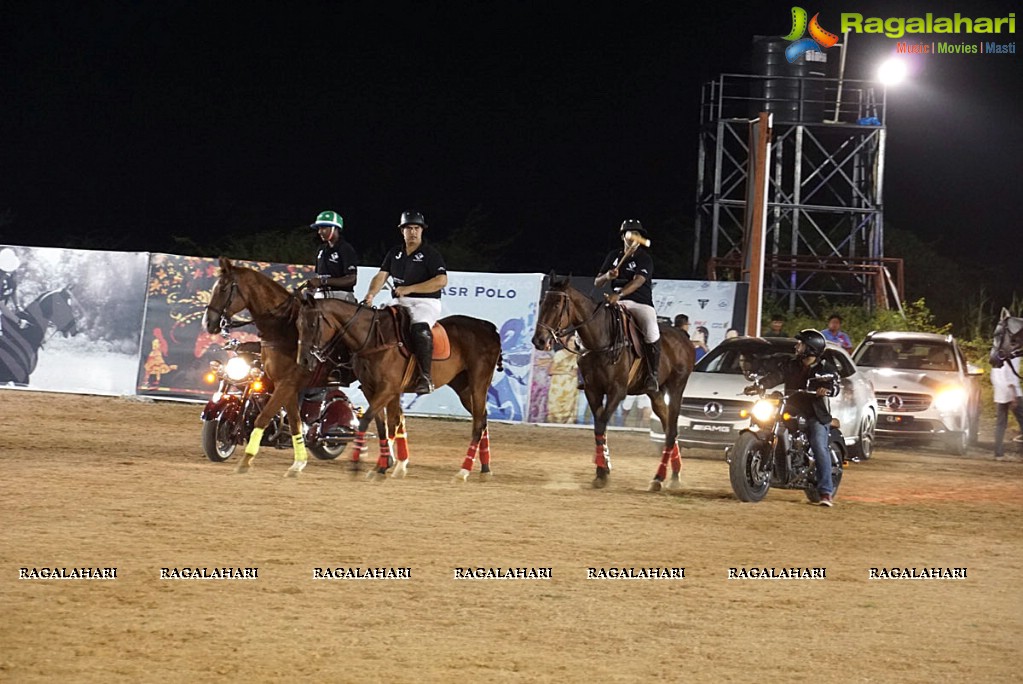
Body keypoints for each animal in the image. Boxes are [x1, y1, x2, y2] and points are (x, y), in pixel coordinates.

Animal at [296, 298, 503, 480]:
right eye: (298, 325)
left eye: (313, 324)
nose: (304, 360)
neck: (373, 339)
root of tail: (490, 328)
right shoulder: (372, 390)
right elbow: (384, 425)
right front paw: (383, 465)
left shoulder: (387, 389)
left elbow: (368, 421)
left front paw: (359, 463)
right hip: (464, 388)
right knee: (482, 418)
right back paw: (485, 468)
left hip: (478, 383)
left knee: (478, 424)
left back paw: (464, 471)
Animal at [527, 274, 695, 488]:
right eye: (542, 303)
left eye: (557, 305)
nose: (539, 340)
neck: (600, 340)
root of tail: (684, 338)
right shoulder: (593, 390)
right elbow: (600, 427)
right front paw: (603, 468)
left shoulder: (617, 391)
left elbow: (601, 424)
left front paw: (601, 469)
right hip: (655, 394)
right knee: (668, 430)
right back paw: (674, 474)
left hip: (675, 388)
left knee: (672, 431)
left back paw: (659, 478)